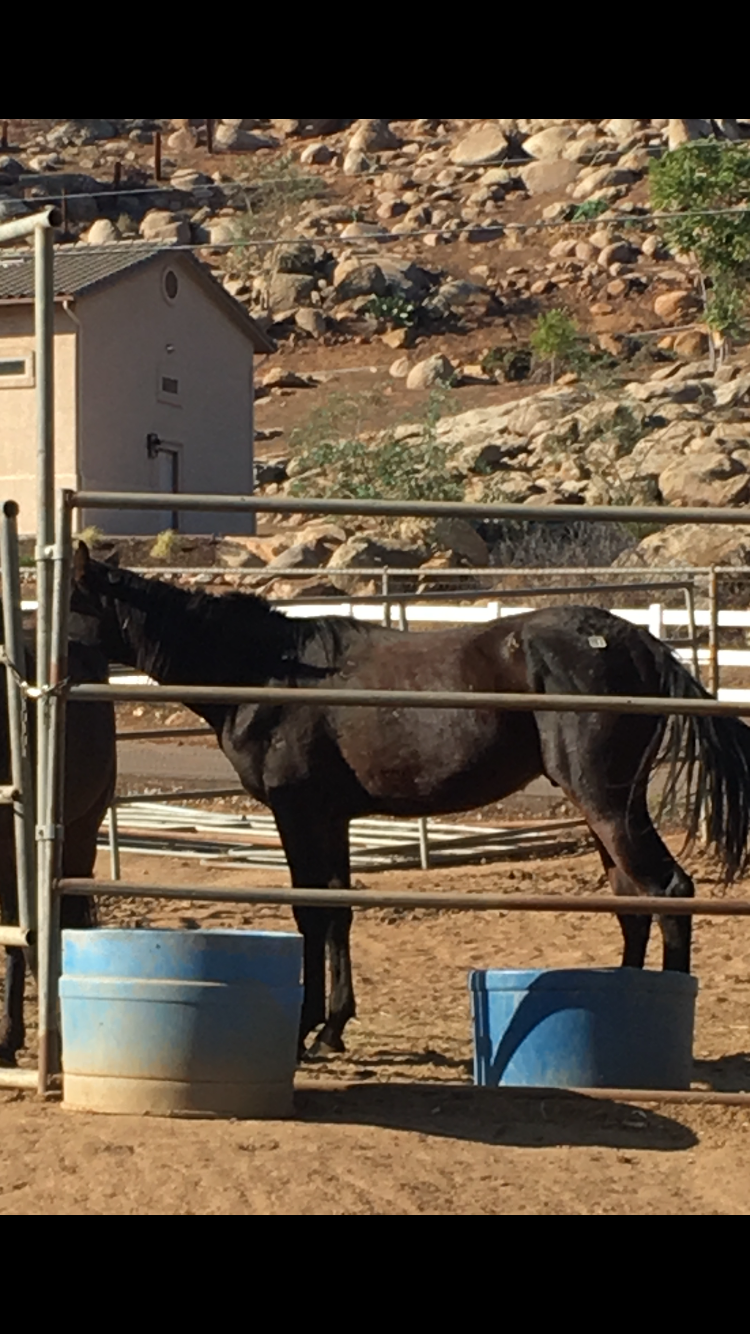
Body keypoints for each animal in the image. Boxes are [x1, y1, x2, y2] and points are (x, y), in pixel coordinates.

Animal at [71, 545, 750, 1057]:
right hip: (606, 807)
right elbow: (337, 911)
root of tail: (638, 642)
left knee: (668, 892)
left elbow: (311, 913)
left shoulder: (298, 814)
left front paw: (306, 1032)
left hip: (606, 804)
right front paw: (332, 1028)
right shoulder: (331, 818)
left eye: (68, 602)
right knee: (633, 902)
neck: (266, 672)